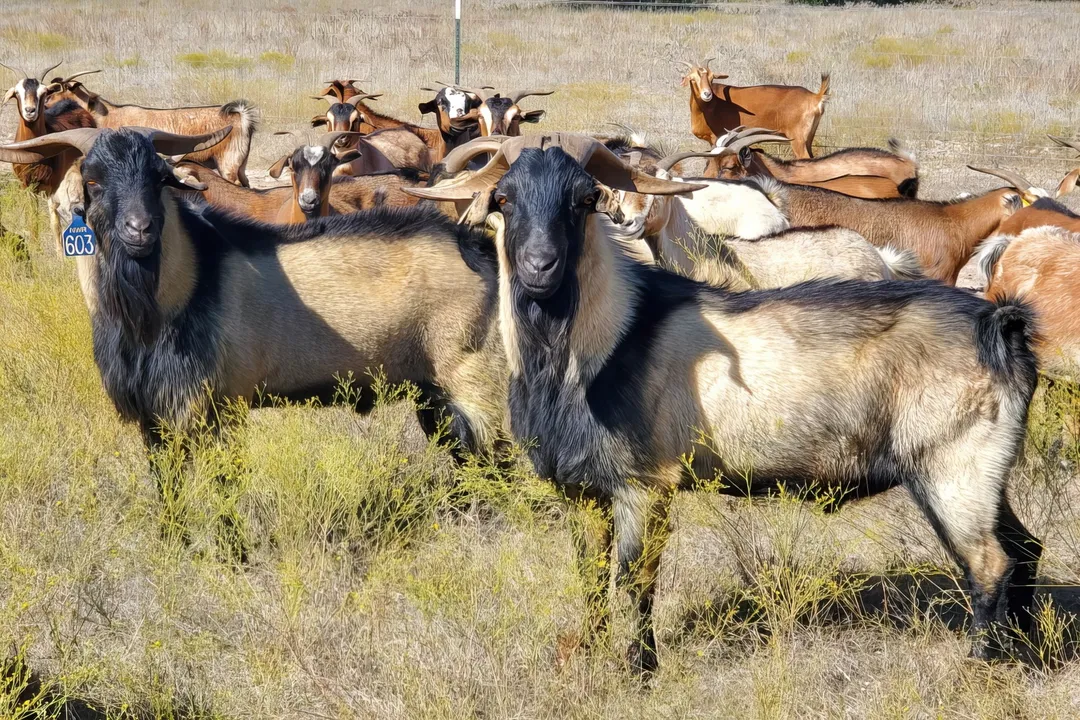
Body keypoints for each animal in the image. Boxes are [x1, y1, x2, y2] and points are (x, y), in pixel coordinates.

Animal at [0, 126, 508, 463]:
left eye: (158, 178)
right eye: (93, 179)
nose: (139, 229)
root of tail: (478, 248)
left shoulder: (211, 407)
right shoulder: (153, 417)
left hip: (473, 382)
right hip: (433, 393)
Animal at [48, 71, 258, 186]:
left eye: (54, 91)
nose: (43, 107)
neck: (107, 114)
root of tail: (240, 116)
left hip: (228, 163)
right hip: (241, 164)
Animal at [680, 59, 829, 159]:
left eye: (711, 78)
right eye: (693, 78)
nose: (707, 94)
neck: (709, 106)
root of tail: (816, 97)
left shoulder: (716, 138)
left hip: (798, 140)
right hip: (808, 138)